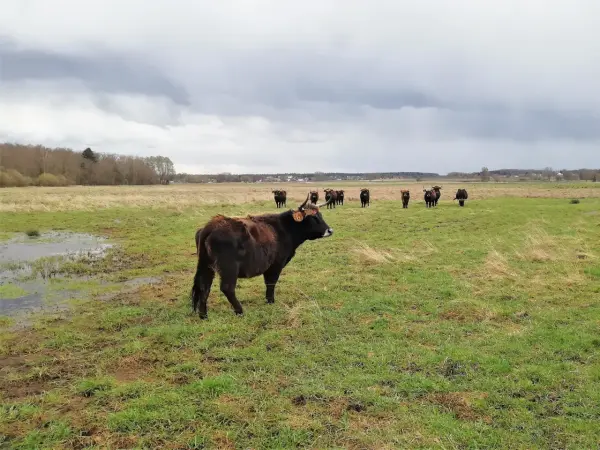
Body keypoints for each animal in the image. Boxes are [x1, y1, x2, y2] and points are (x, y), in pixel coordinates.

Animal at [191, 195, 336, 318]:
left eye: (320, 215)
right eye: (313, 218)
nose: (330, 230)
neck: (284, 228)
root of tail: (212, 225)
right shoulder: (275, 265)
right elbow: (271, 283)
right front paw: (270, 301)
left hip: (207, 266)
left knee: (204, 286)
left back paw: (203, 315)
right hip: (229, 268)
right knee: (227, 288)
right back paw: (239, 311)